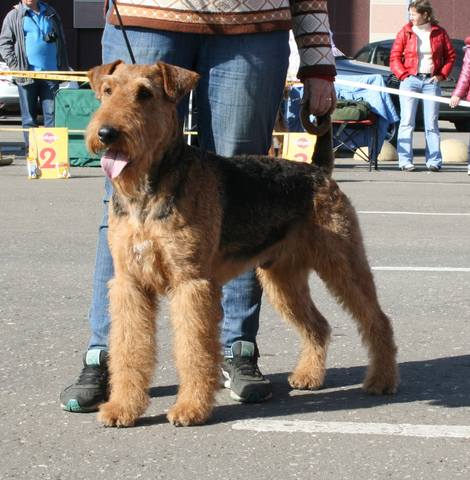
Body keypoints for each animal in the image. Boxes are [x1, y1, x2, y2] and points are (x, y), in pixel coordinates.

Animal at [85, 61, 400, 428]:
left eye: (145, 93)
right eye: (107, 90)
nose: (106, 133)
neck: (149, 189)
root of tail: (317, 170)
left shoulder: (191, 283)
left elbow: (193, 350)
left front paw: (190, 408)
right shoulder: (130, 284)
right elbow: (128, 348)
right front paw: (122, 408)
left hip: (342, 263)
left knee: (377, 319)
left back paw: (381, 380)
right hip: (283, 279)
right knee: (318, 325)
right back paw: (308, 376)